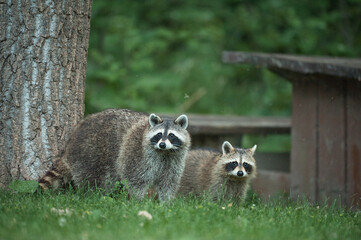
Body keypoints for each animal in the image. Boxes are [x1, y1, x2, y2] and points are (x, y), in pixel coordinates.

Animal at [38, 109, 191, 202]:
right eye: (159, 135)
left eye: (171, 136)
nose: (162, 144)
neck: (164, 152)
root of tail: (71, 142)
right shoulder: (136, 153)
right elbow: (136, 179)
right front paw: (138, 201)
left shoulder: (174, 160)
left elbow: (169, 181)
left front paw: (165, 202)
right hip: (89, 152)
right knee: (95, 178)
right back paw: (95, 196)